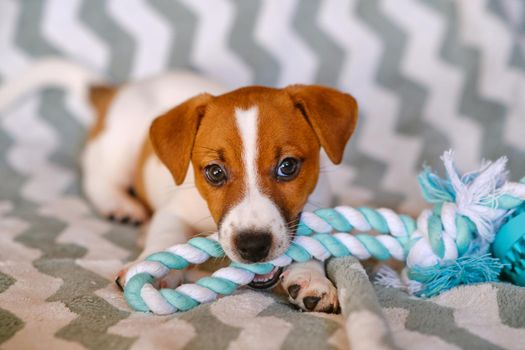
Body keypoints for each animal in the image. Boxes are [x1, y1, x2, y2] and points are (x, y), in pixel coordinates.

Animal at [82, 72, 358, 314]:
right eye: (215, 172)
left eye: (287, 166)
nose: (252, 246)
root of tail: (121, 89)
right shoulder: (175, 211)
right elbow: (165, 235)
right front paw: (153, 265)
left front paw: (311, 278)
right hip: (119, 148)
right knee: (99, 179)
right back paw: (121, 206)